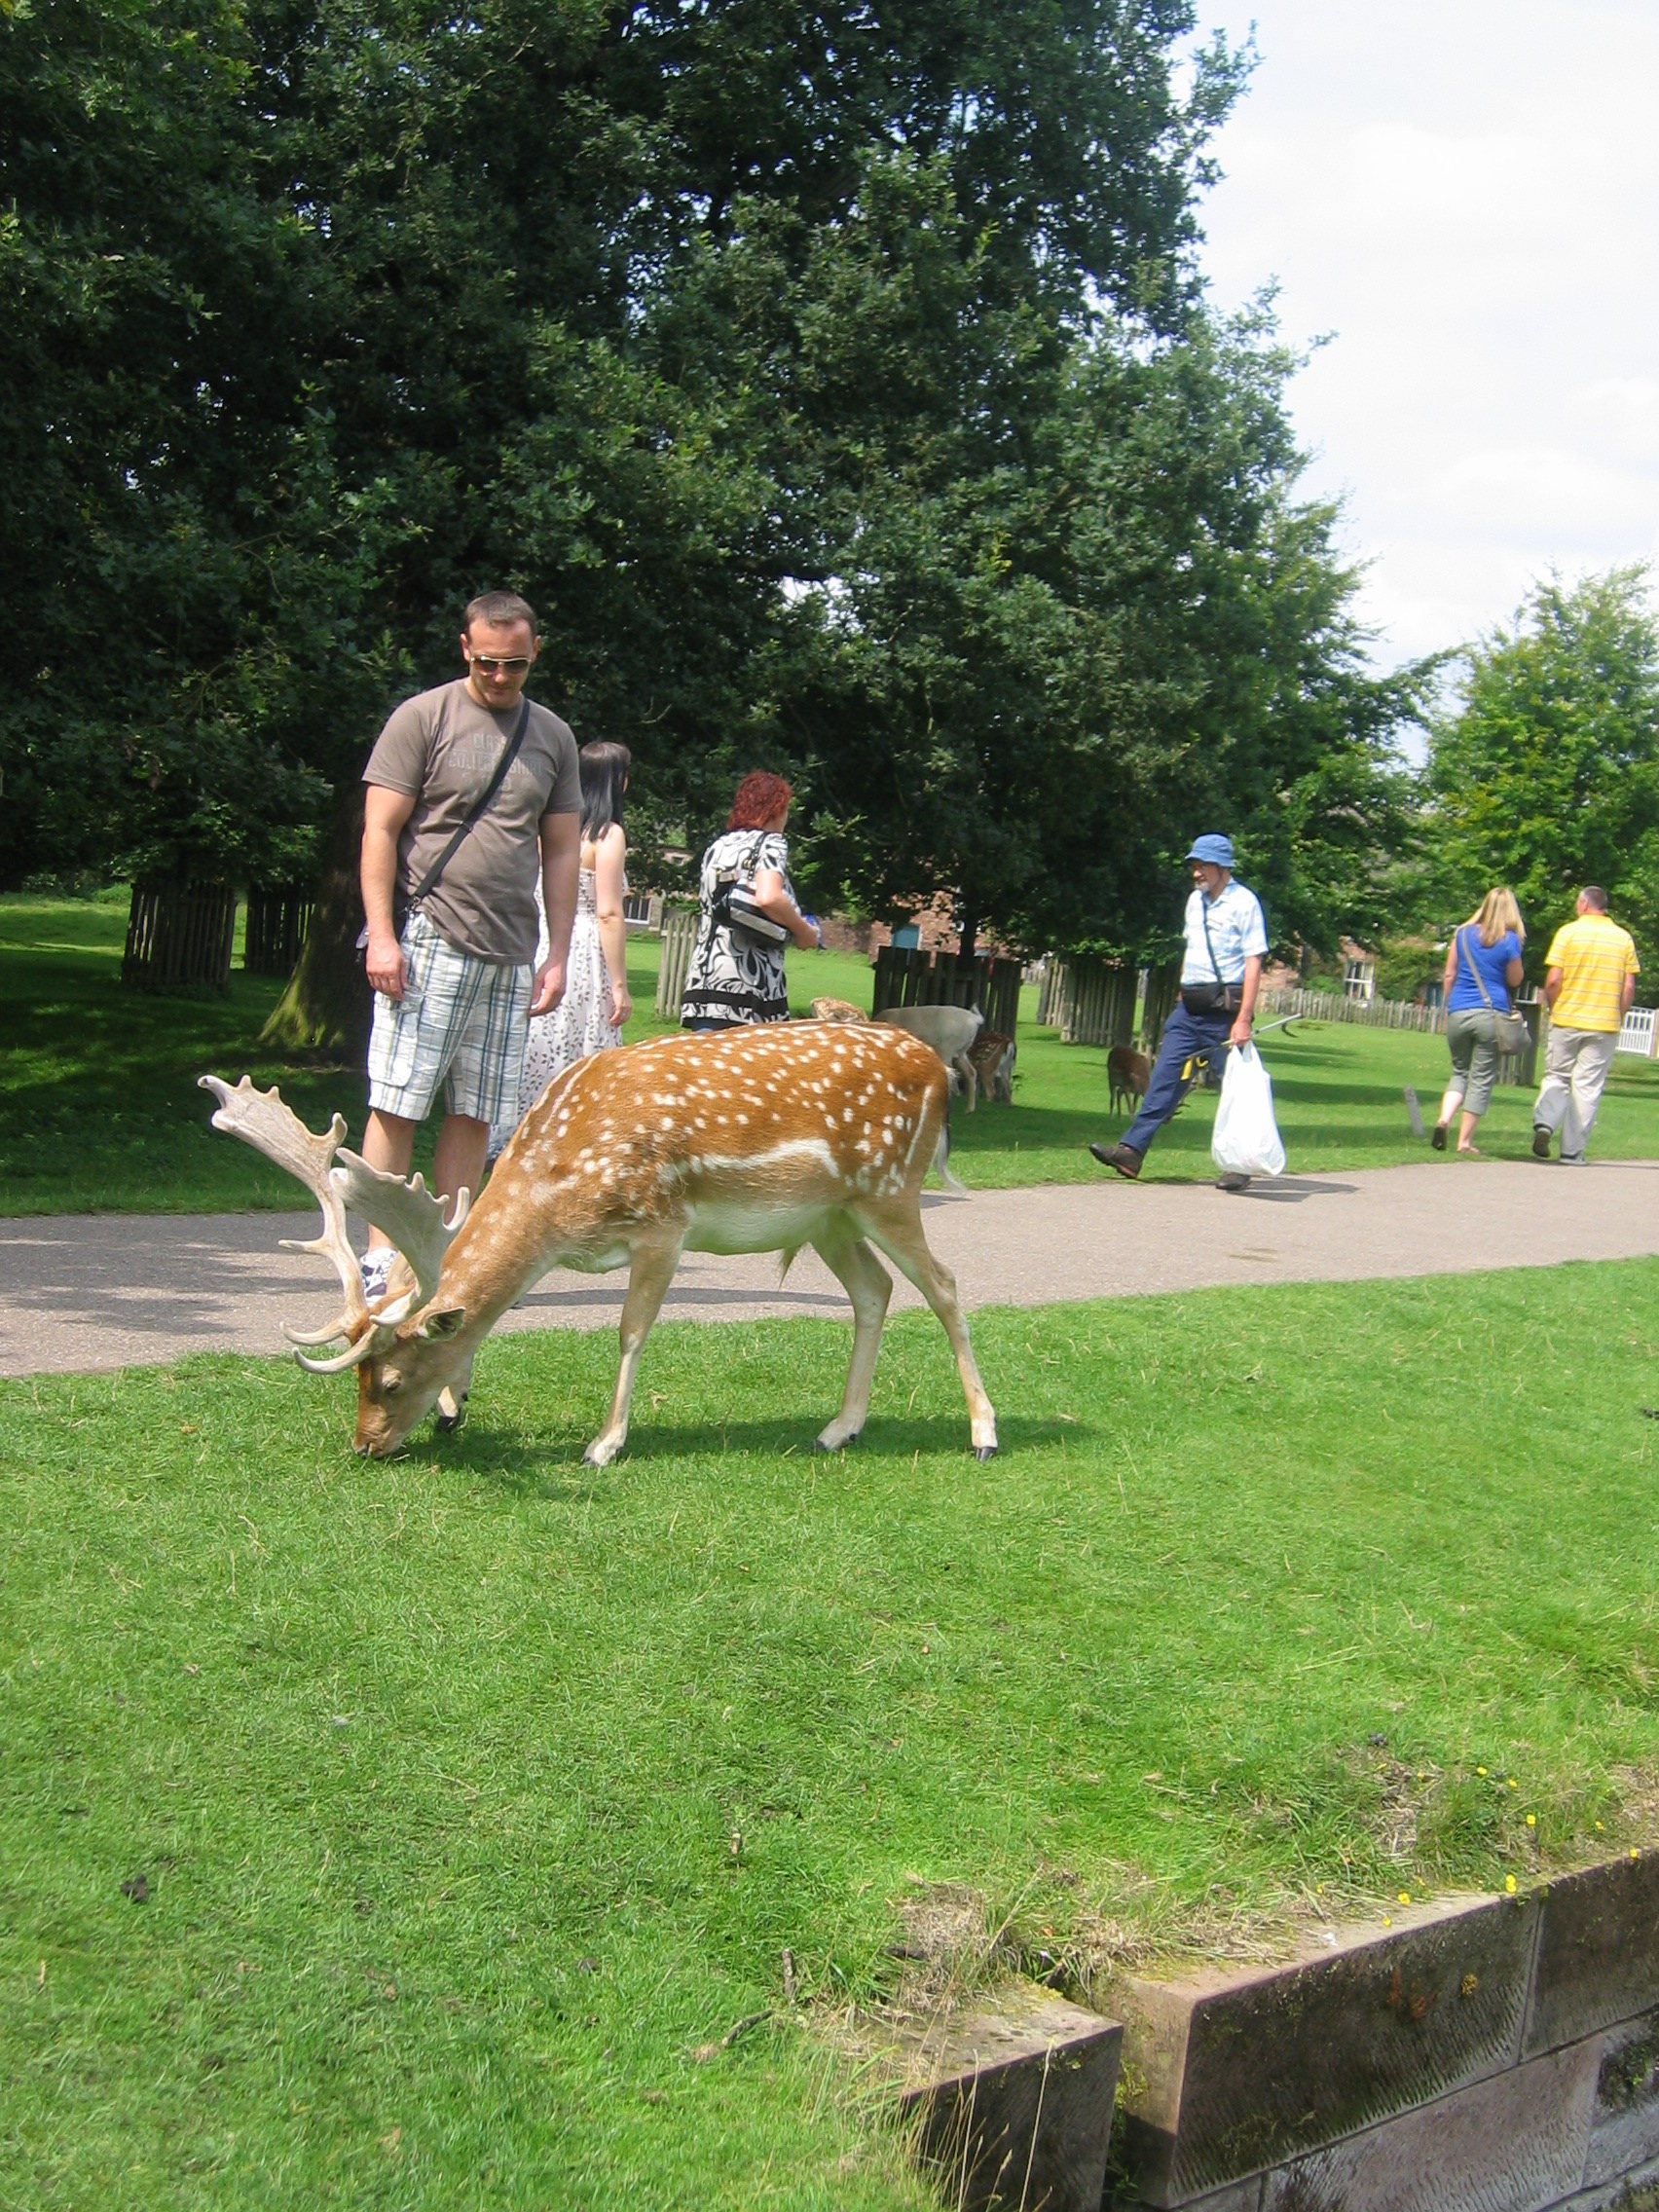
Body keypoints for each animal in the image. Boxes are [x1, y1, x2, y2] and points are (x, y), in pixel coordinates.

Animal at [200, 1017, 995, 1468]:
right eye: (358, 1379)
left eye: (390, 1381)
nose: (363, 1445)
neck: (558, 1198)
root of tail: (938, 1069)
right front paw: (459, 1402)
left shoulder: (663, 1225)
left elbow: (630, 1331)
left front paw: (603, 1445)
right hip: (829, 1217)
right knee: (874, 1289)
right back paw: (839, 1430)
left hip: (889, 1189)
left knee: (945, 1284)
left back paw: (983, 1434)